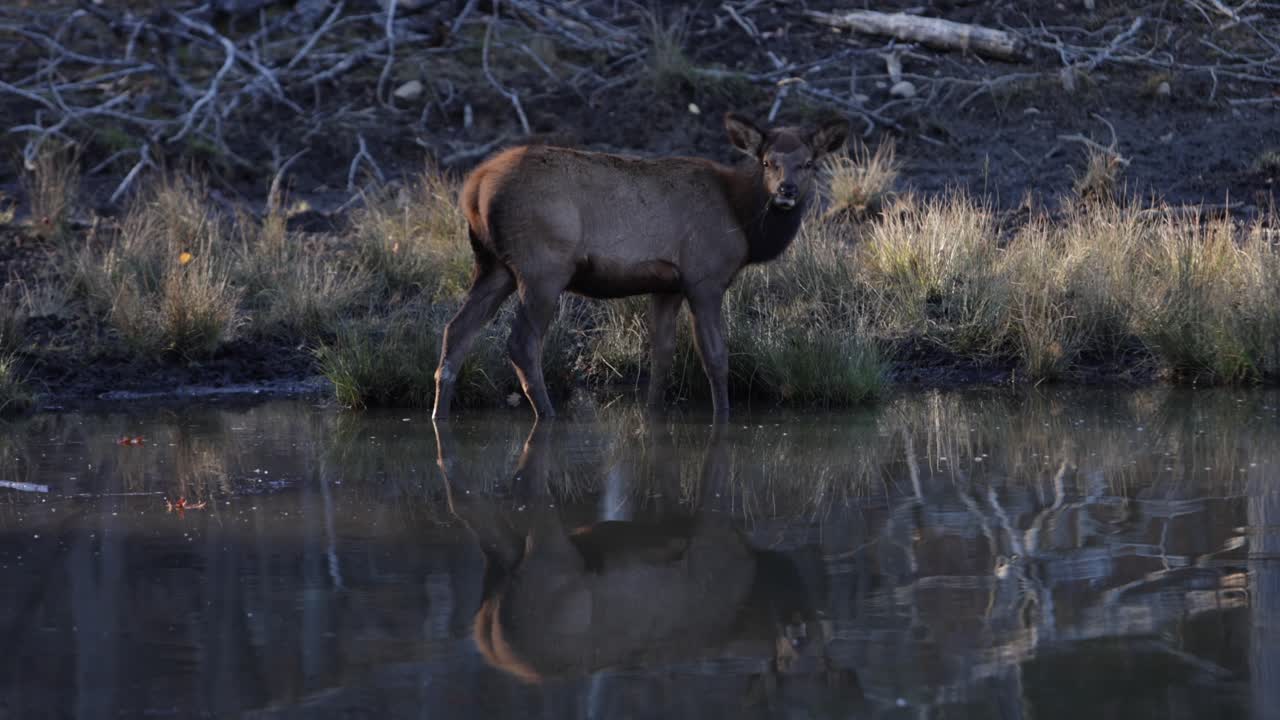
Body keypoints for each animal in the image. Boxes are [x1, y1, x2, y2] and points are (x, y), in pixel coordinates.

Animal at [431, 112, 850, 421]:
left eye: (809, 163)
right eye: (767, 162)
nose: (786, 191)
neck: (743, 224)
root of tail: (473, 188)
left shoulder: (667, 285)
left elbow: (661, 354)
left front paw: (653, 412)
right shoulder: (705, 276)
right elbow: (715, 357)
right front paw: (723, 416)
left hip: (494, 265)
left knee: (456, 331)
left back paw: (440, 413)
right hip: (543, 266)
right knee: (521, 342)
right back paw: (547, 414)